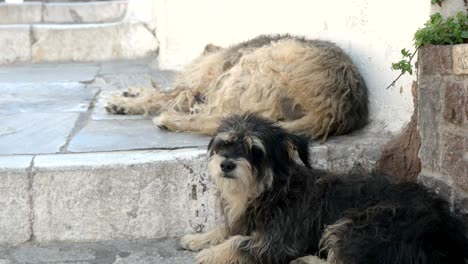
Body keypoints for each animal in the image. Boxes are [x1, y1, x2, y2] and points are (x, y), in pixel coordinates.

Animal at [106, 35, 370, 142]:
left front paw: (125, 102)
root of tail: (334, 108)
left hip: (254, 64)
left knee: (220, 119)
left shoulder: (200, 86)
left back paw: (171, 120)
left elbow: (165, 94)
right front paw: (129, 94)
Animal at [181, 113, 468, 264]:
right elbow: (228, 230)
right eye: (225, 144)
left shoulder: (280, 242)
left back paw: (306, 260)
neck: (270, 190)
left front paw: (210, 253)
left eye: (255, 151)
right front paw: (199, 238)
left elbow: (239, 242)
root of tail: (447, 235)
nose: (226, 164)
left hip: (361, 224)